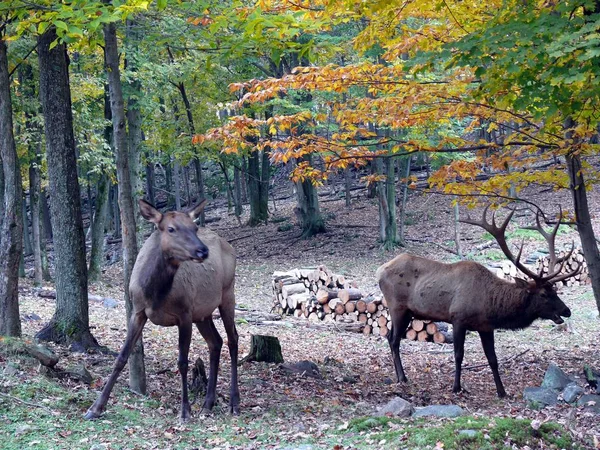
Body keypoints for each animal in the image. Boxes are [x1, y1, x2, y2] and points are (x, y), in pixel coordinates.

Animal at [378, 206, 580, 396]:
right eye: (544, 294)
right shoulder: (458, 319)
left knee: (389, 336)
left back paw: (399, 376)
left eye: (555, 290)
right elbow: (458, 355)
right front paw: (456, 387)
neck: (491, 305)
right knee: (394, 340)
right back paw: (402, 378)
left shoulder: (486, 326)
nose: (567, 310)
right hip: (397, 307)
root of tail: (380, 270)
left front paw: (502, 392)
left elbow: (493, 358)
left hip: (407, 312)